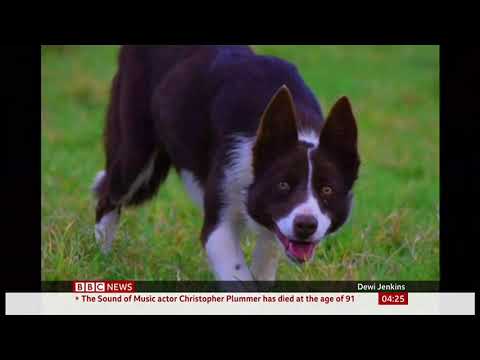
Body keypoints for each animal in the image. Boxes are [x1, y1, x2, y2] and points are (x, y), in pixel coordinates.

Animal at [92, 45, 358, 282]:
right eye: (283, 185)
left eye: (327, 190)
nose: (305, 225)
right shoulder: (219, 225)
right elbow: (238, 274)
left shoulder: (273, 224)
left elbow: (267, 256)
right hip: (136, 156)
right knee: (108, 195)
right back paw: (102, 257)